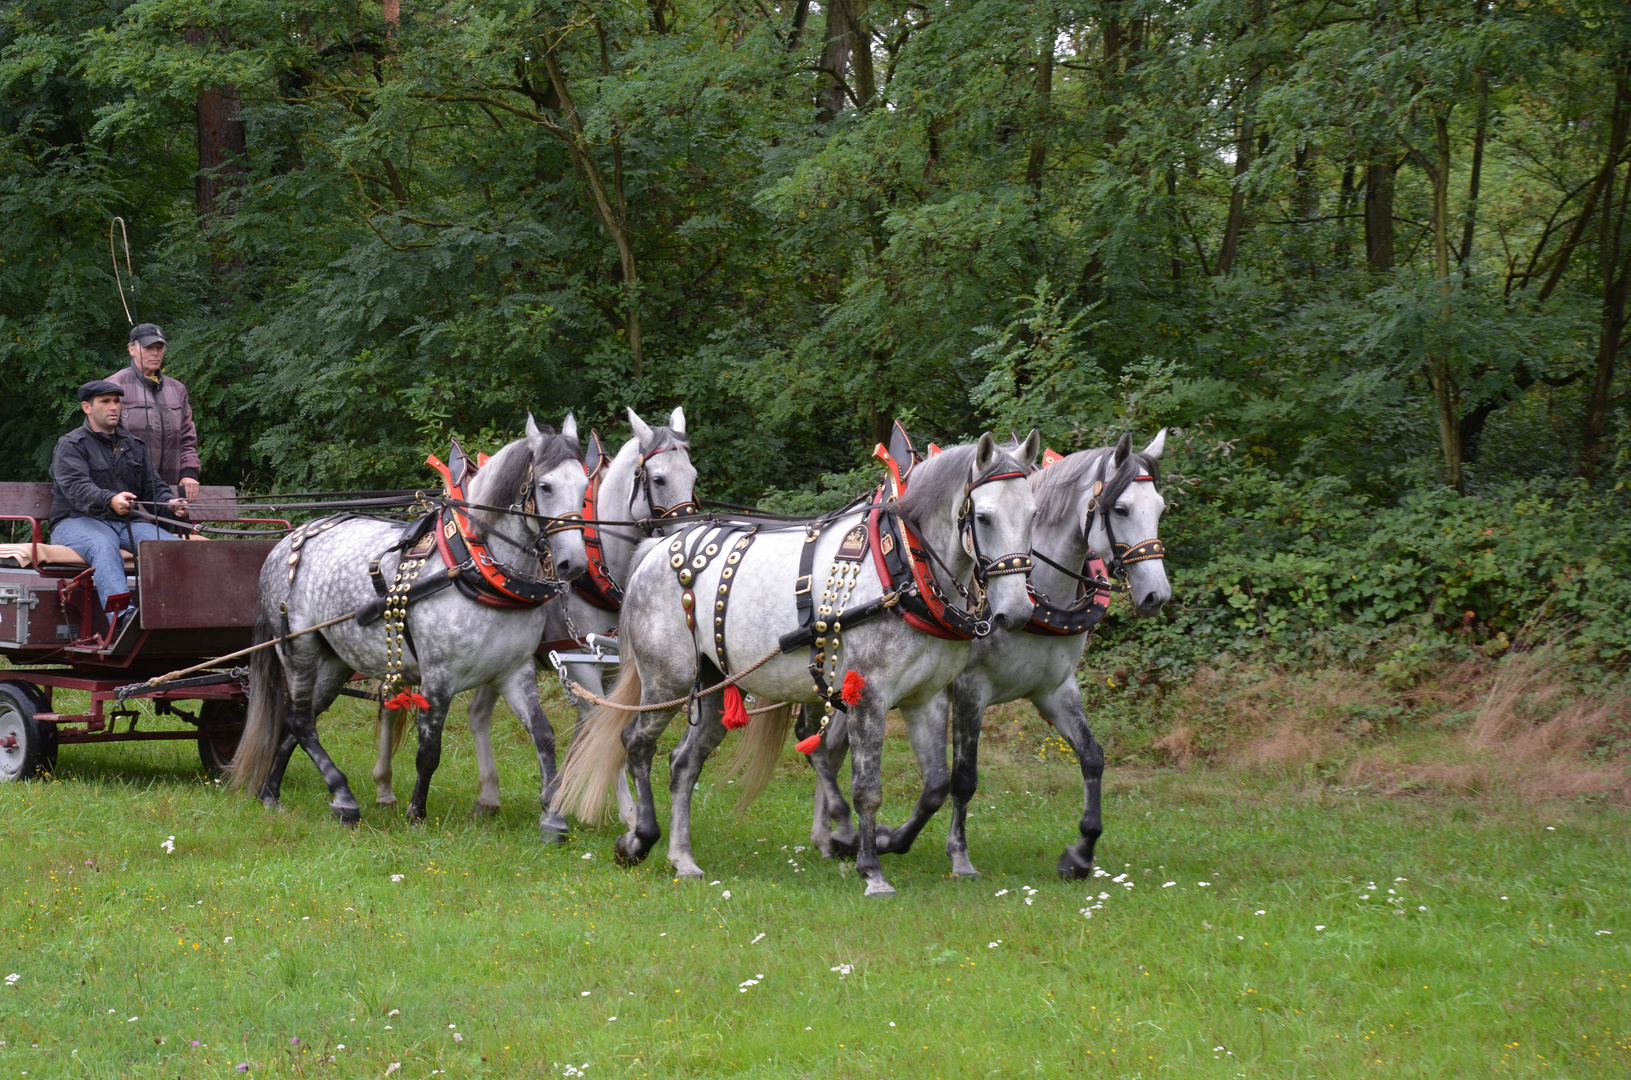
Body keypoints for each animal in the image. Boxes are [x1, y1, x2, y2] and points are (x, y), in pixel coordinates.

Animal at [226, 416, 590, 835]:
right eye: (545, 486)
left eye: (584, 486)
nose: (574, 564)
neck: (474, 566)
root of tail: (284, 544)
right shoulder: (439, 678)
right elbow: (428, 751)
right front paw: (417, 813)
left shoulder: (514, 672)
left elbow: (544, 736)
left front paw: (553, 816)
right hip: (297, 652)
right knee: (301, 721)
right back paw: (343, 798)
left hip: (334, 662)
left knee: (296, 722)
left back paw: (271, 792)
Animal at [370, 407, 694, 822]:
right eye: (659, 478)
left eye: (694, 477)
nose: (687, 535)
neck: (599, 560)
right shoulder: (577, 663)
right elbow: (597, 723)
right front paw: (624, 812)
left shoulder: (612, 667)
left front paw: (568, 792)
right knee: (389, 703)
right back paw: (384, 787)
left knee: (475, 712)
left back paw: (487, 795)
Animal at [554, 430, 1037, 894]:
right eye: (984, 517)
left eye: (1033, 514)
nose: (1016, 613)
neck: (902, 568)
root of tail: (655, 548)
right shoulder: (868, 696)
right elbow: (867, 790)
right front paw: (871, 869)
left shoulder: (927, 697)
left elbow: (936, 785)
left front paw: (892, 841)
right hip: (666, 680)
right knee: (636, 743)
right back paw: (639, 838)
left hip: (713, 685)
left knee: (683, 763)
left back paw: (682, 858)